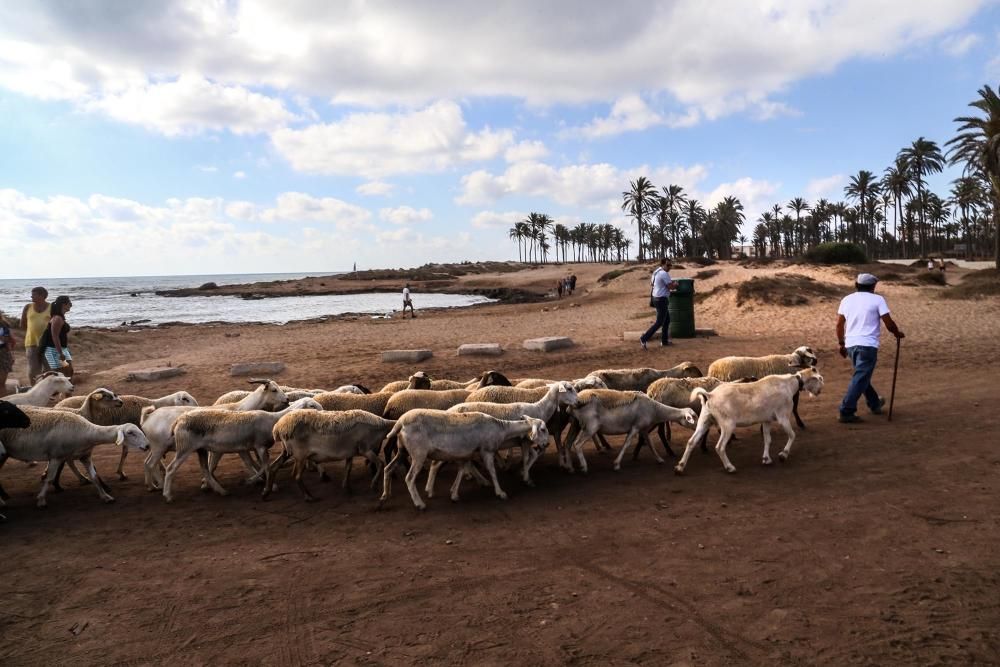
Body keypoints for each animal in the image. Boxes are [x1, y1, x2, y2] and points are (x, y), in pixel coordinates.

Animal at [376, 410, 548, 508]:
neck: (502, 429)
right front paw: (500, 493)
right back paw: (419, 504)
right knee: (409, 478)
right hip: (418, 454)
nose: (546, 444)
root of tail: (400, 422)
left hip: (402, 451)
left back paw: (385, 496)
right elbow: (492, 472)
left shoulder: (466, 453)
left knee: (388, 468)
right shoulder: (486, 451)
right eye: (543, 429)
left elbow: (462, 470)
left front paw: (454, 494)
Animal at [672, 370, 828, 474]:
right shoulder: (782, 416)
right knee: (720, 447)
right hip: (727, 425)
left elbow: (767, 439)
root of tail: (710, 395)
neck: (789, 384)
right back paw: (730, 467)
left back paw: (680, 467)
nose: (820, 391)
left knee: (691, 442)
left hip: (705, 420)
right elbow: (792, 435)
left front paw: (766, 459)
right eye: (818, 379)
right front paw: (783, 455)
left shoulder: (766, 420)